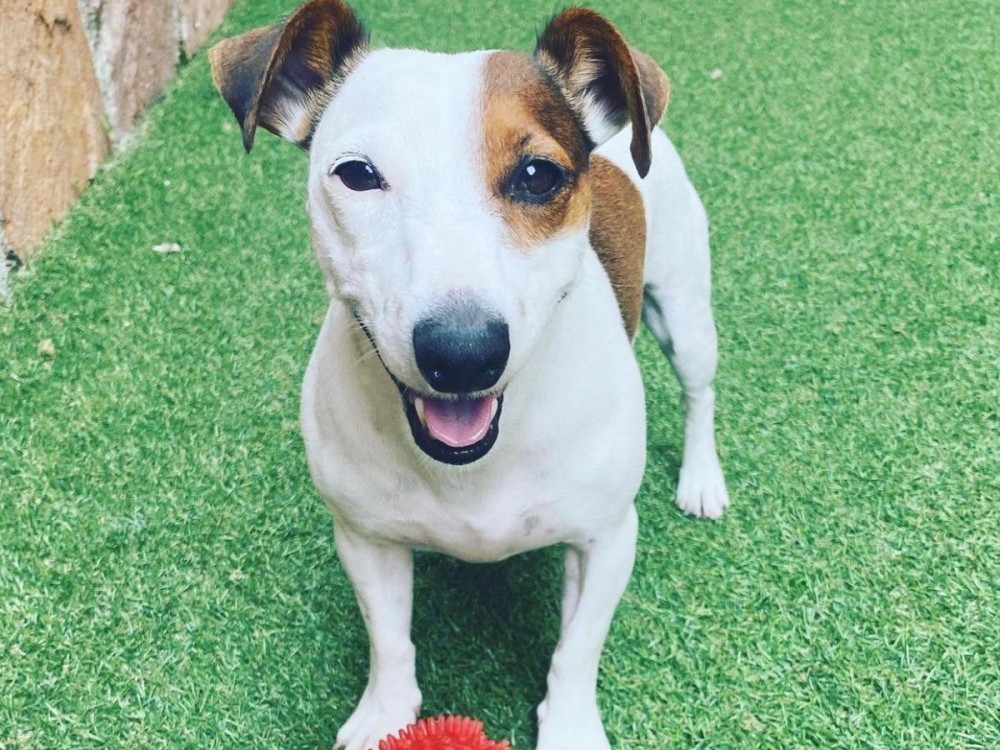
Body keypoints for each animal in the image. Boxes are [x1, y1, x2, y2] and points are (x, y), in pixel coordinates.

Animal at [210, 2, 729, 747]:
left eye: (538, 175)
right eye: (357, 174)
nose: (462, 352)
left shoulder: (606, 538)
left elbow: (577, 650)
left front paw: (570, 726)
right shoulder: (364, 538)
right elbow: (389, 639)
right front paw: (384, 714)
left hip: (684, 315)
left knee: (698, 393)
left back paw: (702, 478)